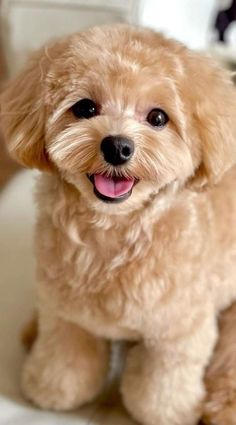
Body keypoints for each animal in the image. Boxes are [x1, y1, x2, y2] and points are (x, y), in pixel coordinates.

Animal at [0, 22, 236, 424]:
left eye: (158, 118)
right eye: (84, 108)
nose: (118, 147)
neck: (112, 232)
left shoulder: (177, 333)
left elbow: (159, 390)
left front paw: (168, 413)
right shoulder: (66, 317)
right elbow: (64, 363)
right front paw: (50, 390)